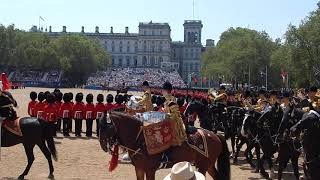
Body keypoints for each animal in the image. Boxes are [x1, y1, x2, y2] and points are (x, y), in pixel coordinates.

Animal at [98, 112, 230, 179]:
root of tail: (215, 135)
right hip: (208, 165)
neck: (140, 139)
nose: (103, 146)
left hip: (202, 166)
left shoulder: (150, 170)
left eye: (106, 127)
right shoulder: (139, 168)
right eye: (99, 126)